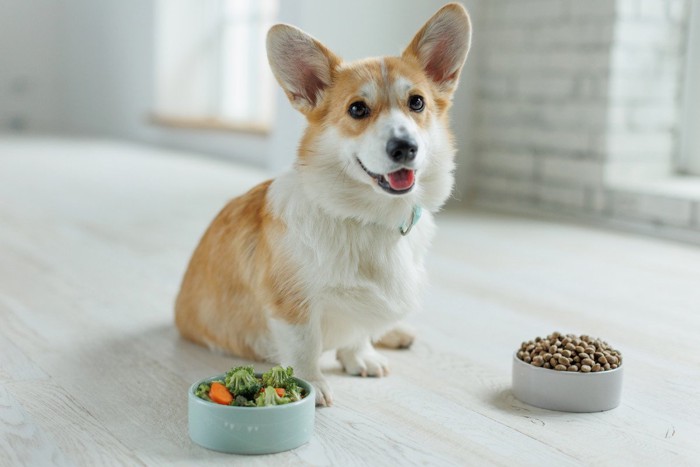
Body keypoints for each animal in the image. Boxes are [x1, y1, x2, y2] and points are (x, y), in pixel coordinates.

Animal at [174, 2, 470, 406]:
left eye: (417, 102)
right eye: (357, 109)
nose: (405, 147)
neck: (366, 218)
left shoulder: (360, 308)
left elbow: (358, 333)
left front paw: (360, 357)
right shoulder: (291, 305)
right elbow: (305, 346)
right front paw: (312, 385)